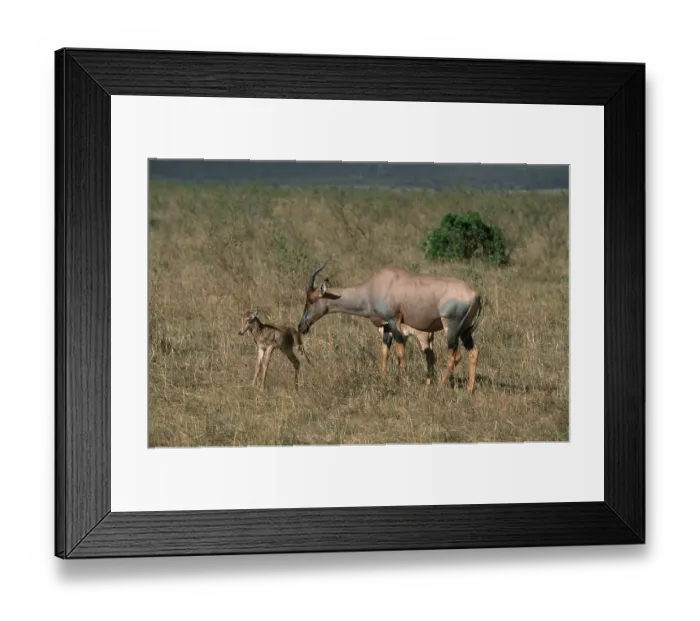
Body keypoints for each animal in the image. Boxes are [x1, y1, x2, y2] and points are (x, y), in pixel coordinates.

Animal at [297, 263, 483, 393]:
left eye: (311, 300)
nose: (301, 326)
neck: (374, 286)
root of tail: (476, 295)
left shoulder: (394, 321)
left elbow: (400, 352)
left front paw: (403, 380)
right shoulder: (386, 326)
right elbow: (385, 352)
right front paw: (384, 378)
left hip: (451, 328)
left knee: (455, 355)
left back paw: (440, 385)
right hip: (465, 330)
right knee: (473, 352)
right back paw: (469, 389)